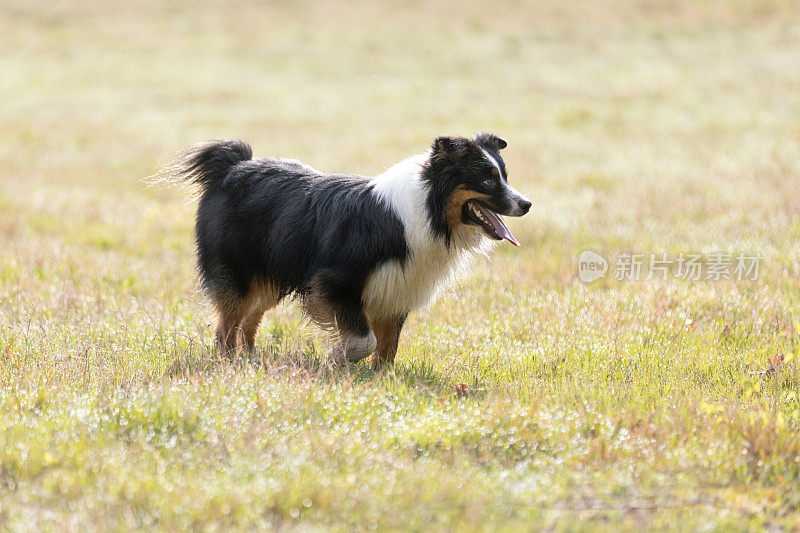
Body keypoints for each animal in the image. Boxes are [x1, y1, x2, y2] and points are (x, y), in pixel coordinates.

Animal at [167, 134, 532, 366]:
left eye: (504, 176)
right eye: (487, 181)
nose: (527, 204)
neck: (429, 209)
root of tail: (233, 166)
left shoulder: (397, 287)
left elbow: (388, 347)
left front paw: (380, 379)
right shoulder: (334, 281)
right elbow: (364, 340)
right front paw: (336, 359)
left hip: (273, 273)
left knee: (249, 318)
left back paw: (252, 358)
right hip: (239, 270)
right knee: (227, 323)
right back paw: (229, 362)